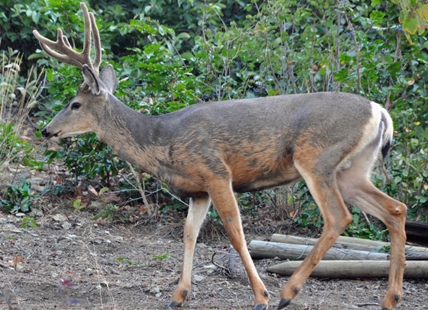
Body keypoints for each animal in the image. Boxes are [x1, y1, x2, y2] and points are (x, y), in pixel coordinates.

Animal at [33, 3, 408, 310]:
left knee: (338, 217)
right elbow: (188, 232)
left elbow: (235, 231)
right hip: (352, 170)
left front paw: (260, 296)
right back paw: (390, 298)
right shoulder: (198, 188)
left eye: (74, 104)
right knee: (395, 209)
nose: (46, 130)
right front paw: (178, 295)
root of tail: (382, 113)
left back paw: (287, 293)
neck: (160, 140)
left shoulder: (216, 171)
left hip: (316, 157)